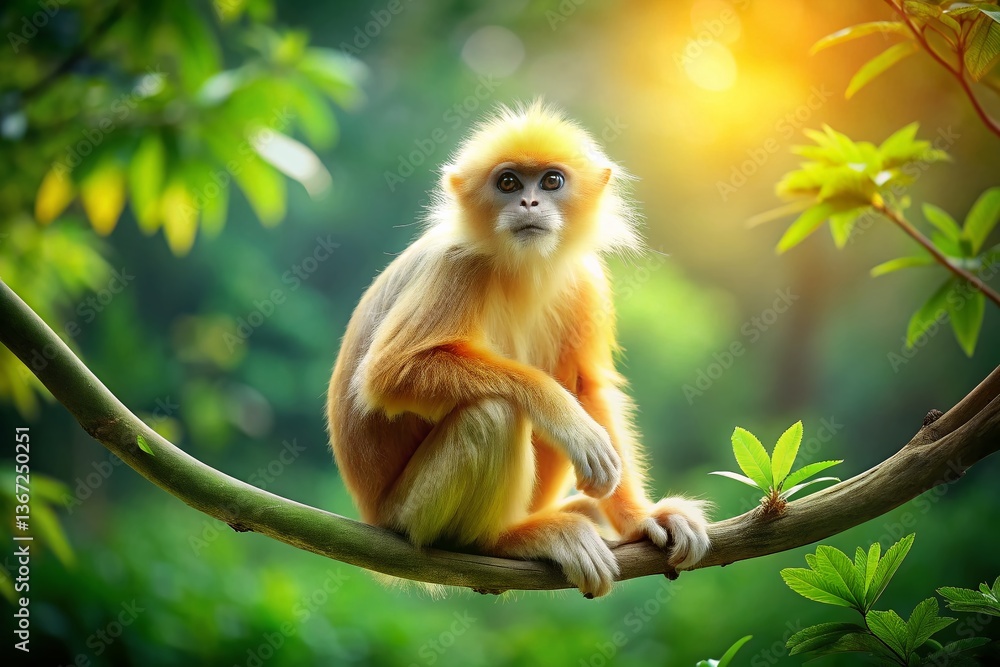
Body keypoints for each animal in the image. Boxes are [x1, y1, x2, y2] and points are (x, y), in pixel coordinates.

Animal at [327, 102, 709, 597]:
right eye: (508, 183)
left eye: (551, 181)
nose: (529, 203)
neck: (521, 267)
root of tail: (372, 515)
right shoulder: (458, 262)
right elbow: (388, 374)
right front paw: (565, 417)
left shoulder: (583, 277)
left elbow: (588, 385)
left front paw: (640, 520)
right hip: (407, 514)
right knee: (494, 415)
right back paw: (510, 539)